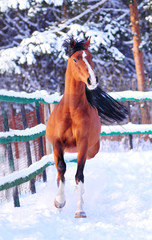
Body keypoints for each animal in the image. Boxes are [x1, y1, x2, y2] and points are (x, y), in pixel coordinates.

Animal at [45, 36, 127, 218]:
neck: (71, 111)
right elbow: (61, 168)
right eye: (75, 59)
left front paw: (80, 210)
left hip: (91, 151)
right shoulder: (57, 143)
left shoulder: (82, 144)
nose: (92, 80)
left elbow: (79, 174)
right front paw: (59, 201)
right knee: (60, 170)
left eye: (90, 57)